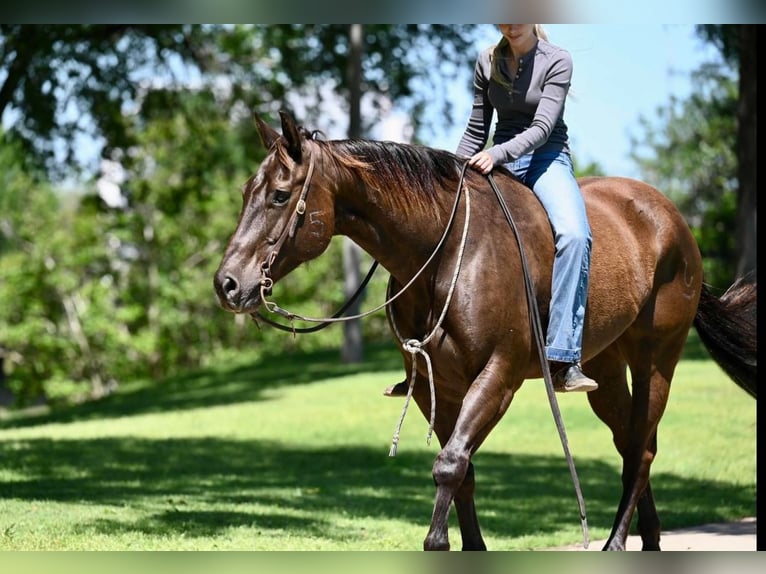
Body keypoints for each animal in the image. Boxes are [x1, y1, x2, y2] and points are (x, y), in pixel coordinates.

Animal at [213, 110, 760, 552]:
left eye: (280, 195)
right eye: (244, 193)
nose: (228, 284)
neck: (447, 247)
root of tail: (673, 220)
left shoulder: (498, 377)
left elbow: (451, 464)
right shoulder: (436, 386)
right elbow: (464, 472)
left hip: (656, 359)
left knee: (642, 448)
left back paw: (615, 543)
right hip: (603, 368)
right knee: (630, 443)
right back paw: (648, 538)